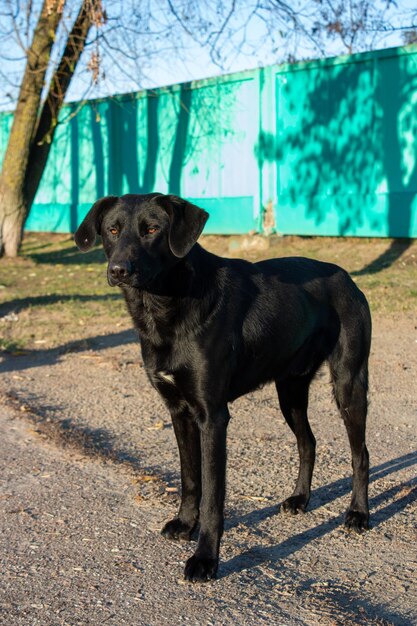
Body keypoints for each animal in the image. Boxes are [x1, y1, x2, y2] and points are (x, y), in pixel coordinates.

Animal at [75, 194, 370, 580]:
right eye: (112, 230)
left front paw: (205, 559)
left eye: (152, 230)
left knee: (360, 454)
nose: (119, 270)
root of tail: (347, 277)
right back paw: (300, 499)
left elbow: (213, 494)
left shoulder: (213, 417)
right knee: (308, 442)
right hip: (290, 390)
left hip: (349, 384)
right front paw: (186, 524)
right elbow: (190, 479)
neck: (165, 304)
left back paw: (359, 513)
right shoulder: (180, 412)